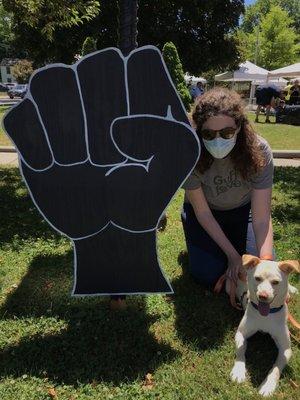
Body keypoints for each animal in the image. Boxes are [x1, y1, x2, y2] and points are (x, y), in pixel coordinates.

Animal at [231, 255, 298, 396]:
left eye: (276, 282)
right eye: (257, 278)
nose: (263, 296)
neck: (266, 316)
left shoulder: (286, 349)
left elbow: (276, 369)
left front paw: (268, 385)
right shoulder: (241, 333)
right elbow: (240, 349)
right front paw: (239, 371)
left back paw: (292, 290)